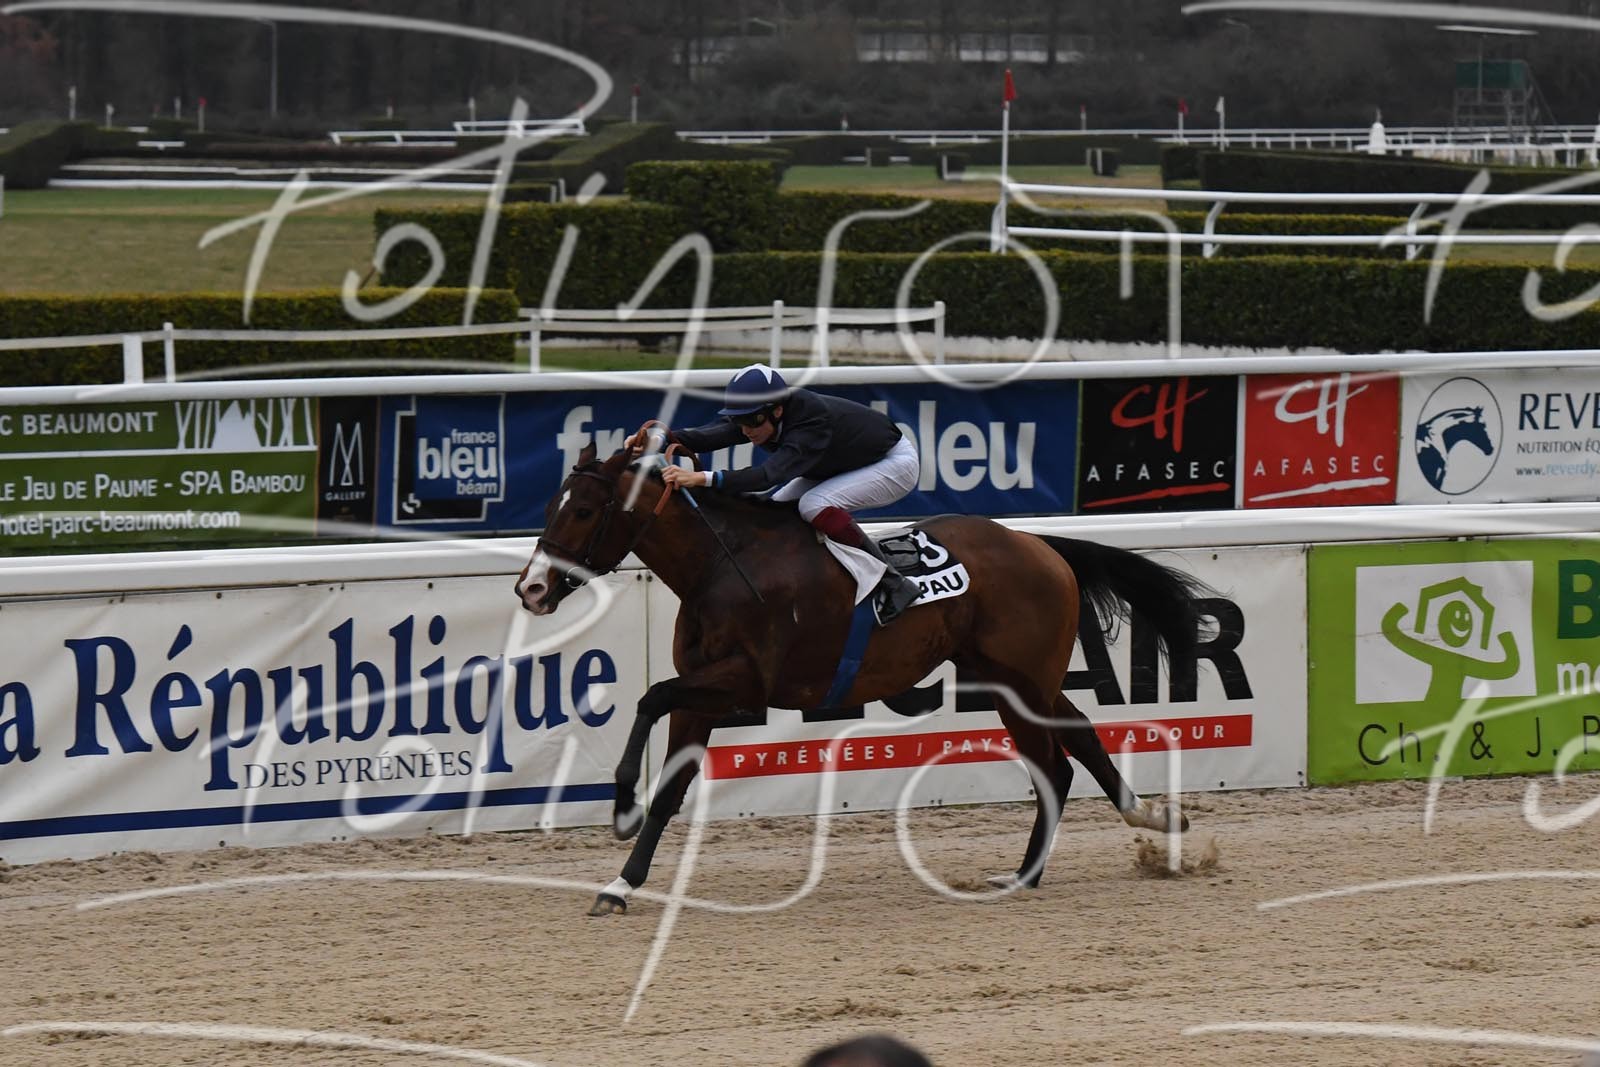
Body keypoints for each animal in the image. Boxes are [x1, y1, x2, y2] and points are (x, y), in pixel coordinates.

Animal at [515, 437, 1210, 916]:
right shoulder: (705, 690)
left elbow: (650, 697)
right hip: (1004, 678)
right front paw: (620, 882)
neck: (723, 562)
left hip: (1025, 679)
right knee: (1070, 752)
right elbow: (668, 783)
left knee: (1066, 756)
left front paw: (621, 804)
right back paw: (1075, 851)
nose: (532, 589)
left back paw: (1099, 843)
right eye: (551, 506)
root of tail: (1042, 546)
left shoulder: (745, 683)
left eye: (583, 510)